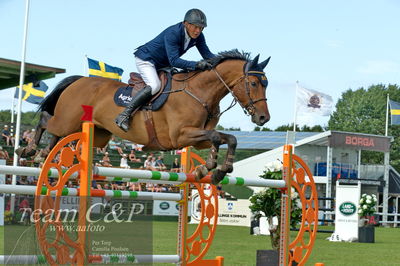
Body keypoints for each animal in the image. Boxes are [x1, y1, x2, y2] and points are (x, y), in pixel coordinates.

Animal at [17, 48, 270, 184]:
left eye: (265, 83)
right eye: (254, 83)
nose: (263, 119)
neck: (199, 92)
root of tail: (78, 80)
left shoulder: (197, 139)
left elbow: (229, 138)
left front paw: (217, 171)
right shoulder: (181, 136)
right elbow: (218, 137)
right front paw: (206, 168)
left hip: (95, 132)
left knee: (57, 134)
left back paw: (43, 154)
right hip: (68, 120)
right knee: (46, 120)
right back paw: (29, 150)